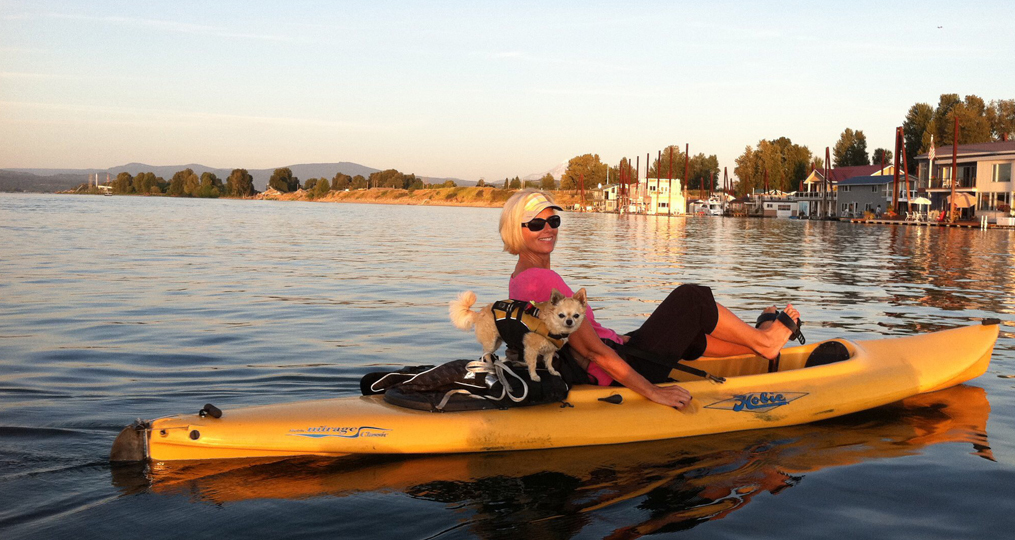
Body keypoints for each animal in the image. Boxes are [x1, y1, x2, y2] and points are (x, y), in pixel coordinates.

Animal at [450, 288, 588, 381]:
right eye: (561, 315)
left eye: (576, 315)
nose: (569, 321)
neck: (550, 324)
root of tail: (479, 314)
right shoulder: (531, 350)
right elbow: (532, 364)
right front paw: (534, 376)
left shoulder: (550, 350)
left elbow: (548, 362)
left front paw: (552, 371)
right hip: (491, 342)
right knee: (486, 354)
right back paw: (490, 365)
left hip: (497, 341)